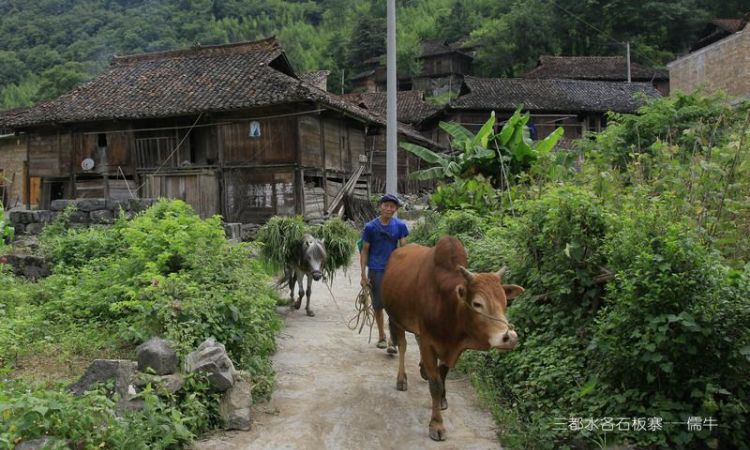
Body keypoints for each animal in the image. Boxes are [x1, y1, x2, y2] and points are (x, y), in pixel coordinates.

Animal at [382, 236, 524, 440]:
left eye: (505, 303)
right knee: (402, 346)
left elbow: (442, 375)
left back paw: (422, 369)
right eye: (477, 304)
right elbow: (435, 384)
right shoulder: (429, 342)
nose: (509, 337)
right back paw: (402, 379)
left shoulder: (451, 347)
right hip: (396, 318)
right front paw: (436, 424)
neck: (447, 303)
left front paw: (442, 400)